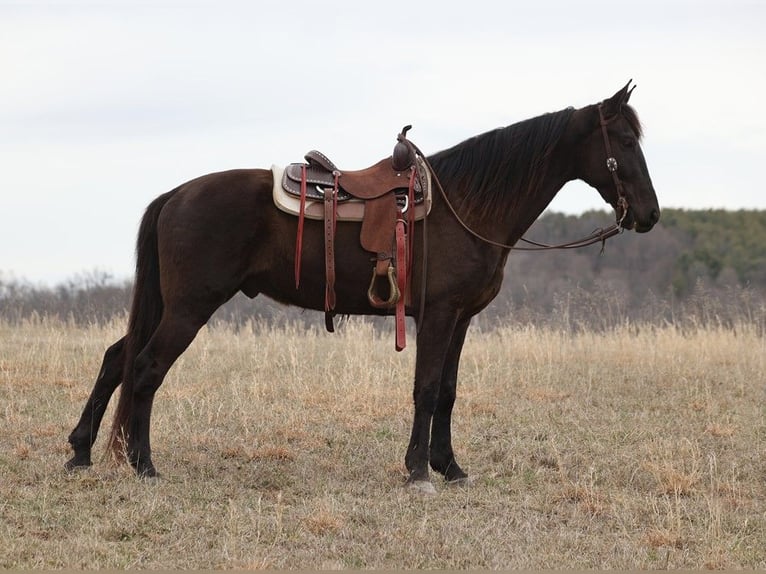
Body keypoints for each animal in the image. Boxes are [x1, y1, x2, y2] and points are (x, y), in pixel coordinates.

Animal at [66, 82, 664, 496]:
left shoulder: (461, 318)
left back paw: (80, 452)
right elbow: (427, 389)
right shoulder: (438, 315)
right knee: (146, 368)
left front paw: (451, 467)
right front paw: (419, 472)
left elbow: (449, 391)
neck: (466, 205)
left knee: (118, 359)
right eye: (624, 139)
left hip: (172, 305)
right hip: (191, 307)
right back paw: (144, 465)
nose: (651, 215)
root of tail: (176, 194)